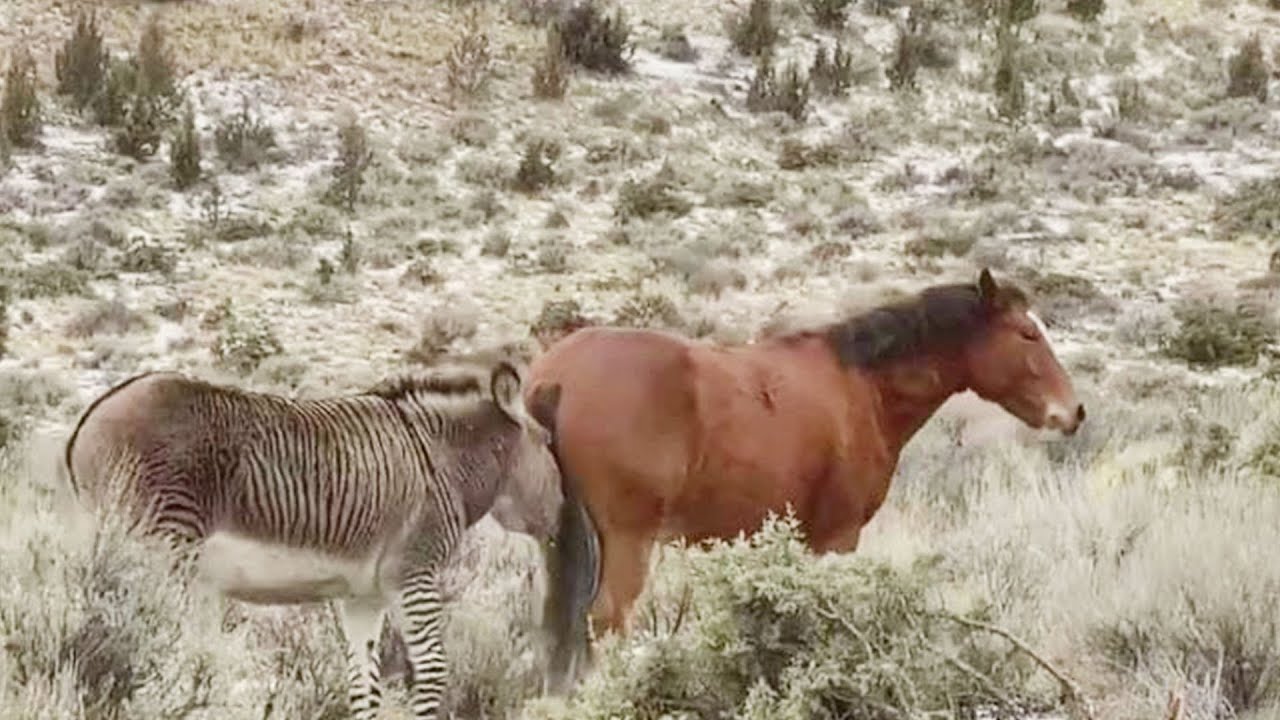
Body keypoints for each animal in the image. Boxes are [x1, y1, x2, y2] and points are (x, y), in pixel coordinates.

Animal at [523, 268, 1085, 642]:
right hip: (628, 541)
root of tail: (556, 376)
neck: (862, 385)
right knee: (607, 620)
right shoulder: (838, 538)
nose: (1074, 411)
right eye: (1027, 334)